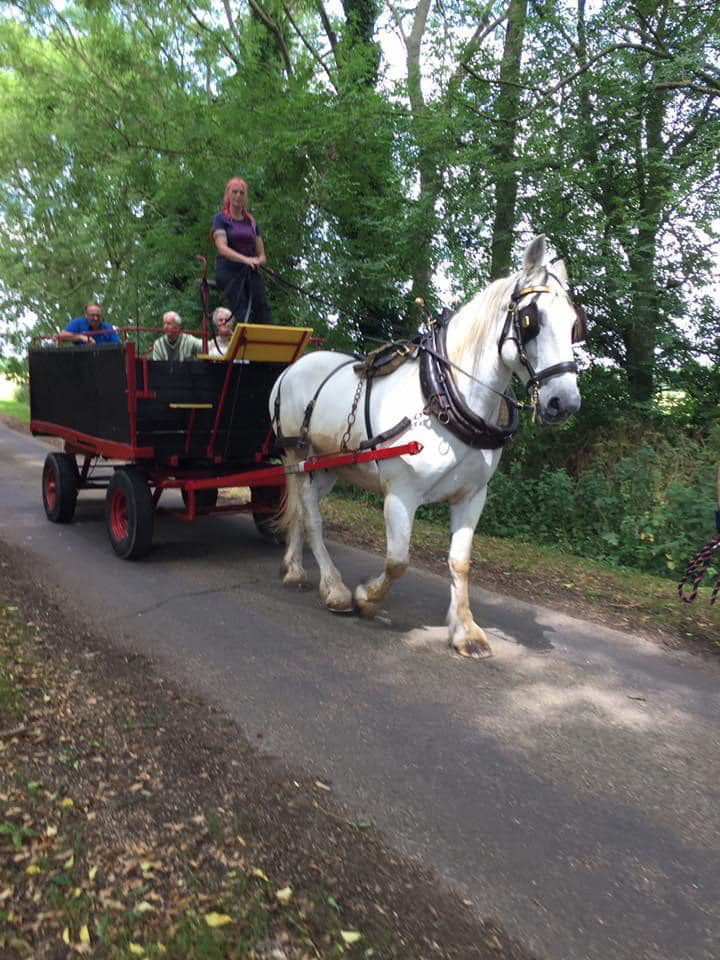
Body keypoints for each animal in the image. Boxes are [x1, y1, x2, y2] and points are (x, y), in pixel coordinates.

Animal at [268, 236, 584, 658]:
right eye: (531, 318)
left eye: (573, 324)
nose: (565, 402)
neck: (443, 397)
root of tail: (293, 367)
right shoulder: (401, 493)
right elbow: (398, 560)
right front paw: (367, 598)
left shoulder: (472, 495)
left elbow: (461, 562)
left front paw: (465, 630)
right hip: (297, 454)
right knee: (311, 516)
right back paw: (333, 588)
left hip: (327, 466)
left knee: (304, 510)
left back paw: (295, 569)